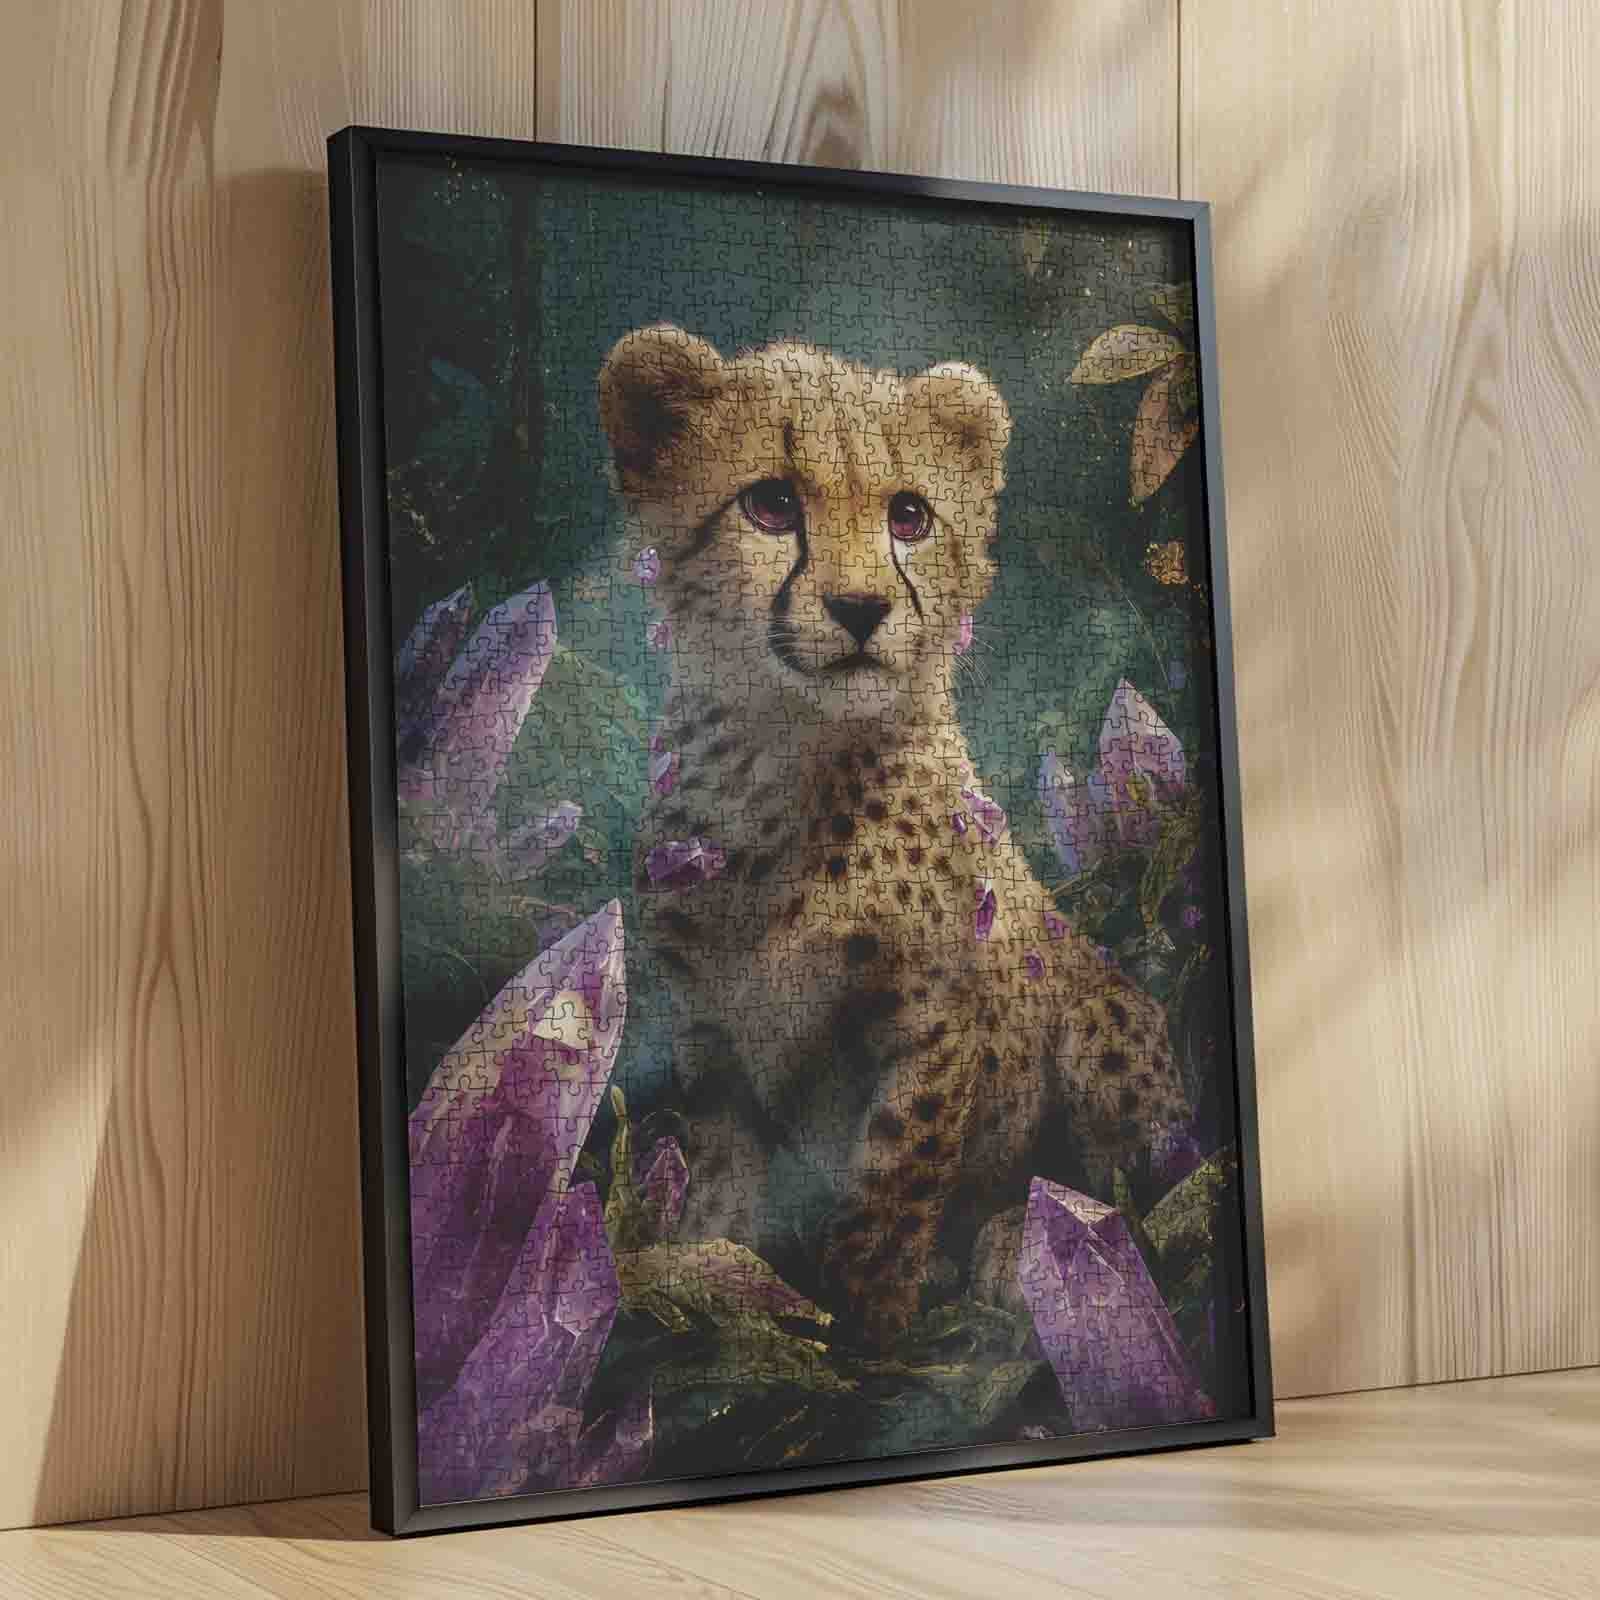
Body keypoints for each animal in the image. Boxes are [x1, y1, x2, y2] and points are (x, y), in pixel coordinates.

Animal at [599, 322, 1192, 1349]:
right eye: (771, 504)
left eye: (909, 516)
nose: (861, 609)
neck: (787, 763)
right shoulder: (710, 1023)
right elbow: (722, 1162)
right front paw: (709, 1266)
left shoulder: (934, 1020)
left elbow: (896, 1172)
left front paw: (870, 1316)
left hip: (1101, 1025)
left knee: (1141, 1195)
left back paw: (1018, 1249)